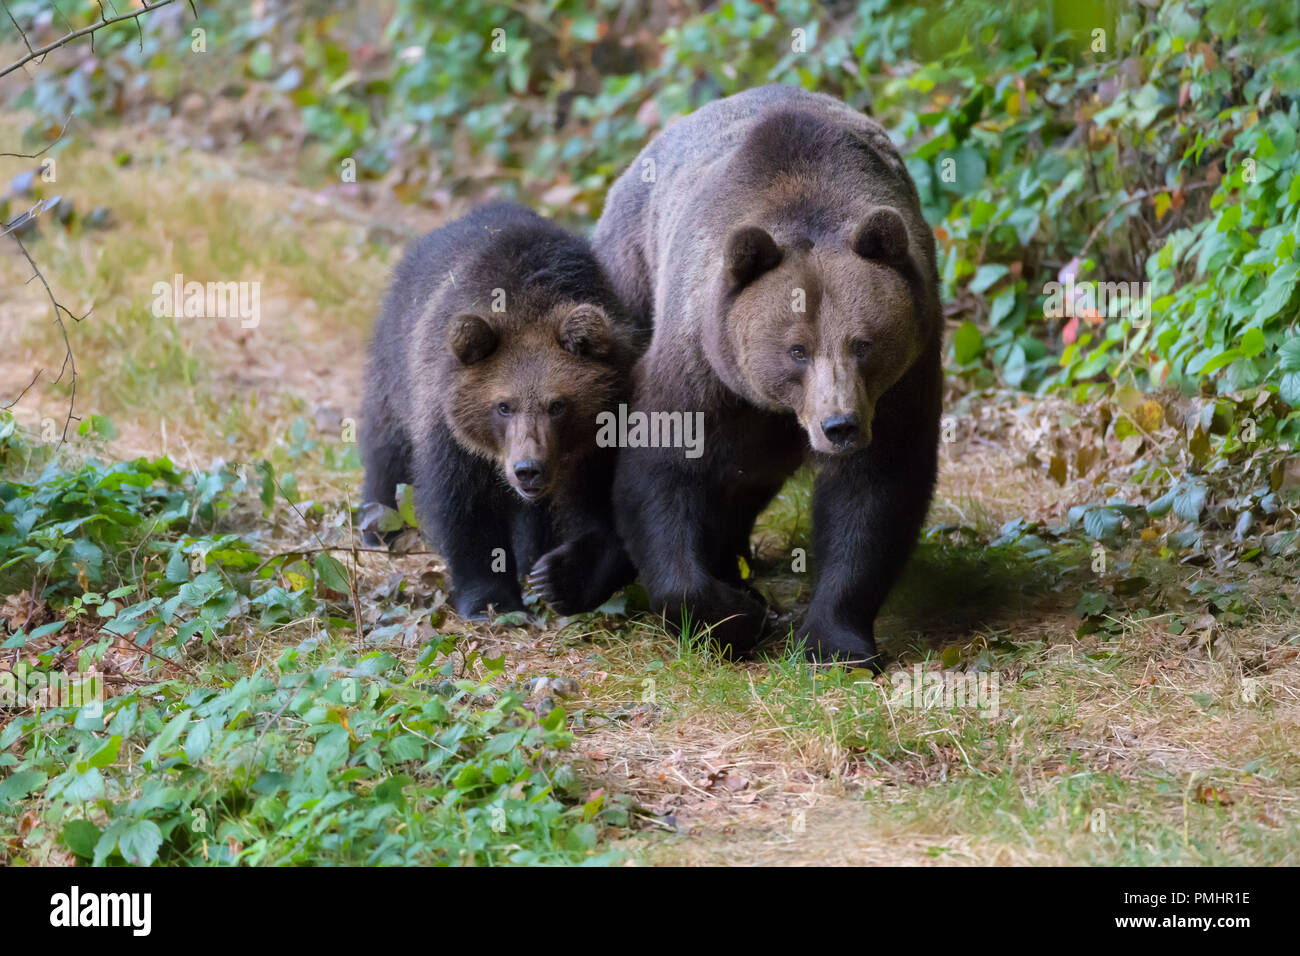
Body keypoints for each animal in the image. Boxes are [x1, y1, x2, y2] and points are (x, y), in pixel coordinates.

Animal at [361, 201, 640, 620]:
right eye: (503, 406)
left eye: (558, 405)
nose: (528, 469)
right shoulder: (452, 429)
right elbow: (466, 509)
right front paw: (491, 600)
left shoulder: (605, 434)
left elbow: (614, 508)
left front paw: (560, 578)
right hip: (395, 366)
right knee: (387, 448)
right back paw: (378, 526)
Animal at [592, 85, 943, 666]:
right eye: (796, 350)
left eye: (864, 344)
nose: (840, 426)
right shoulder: (699, 361)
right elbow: (661, 468)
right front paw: (733, 615)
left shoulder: (903, 378)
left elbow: (877, 489)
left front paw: (834, 639)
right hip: (628, 277)